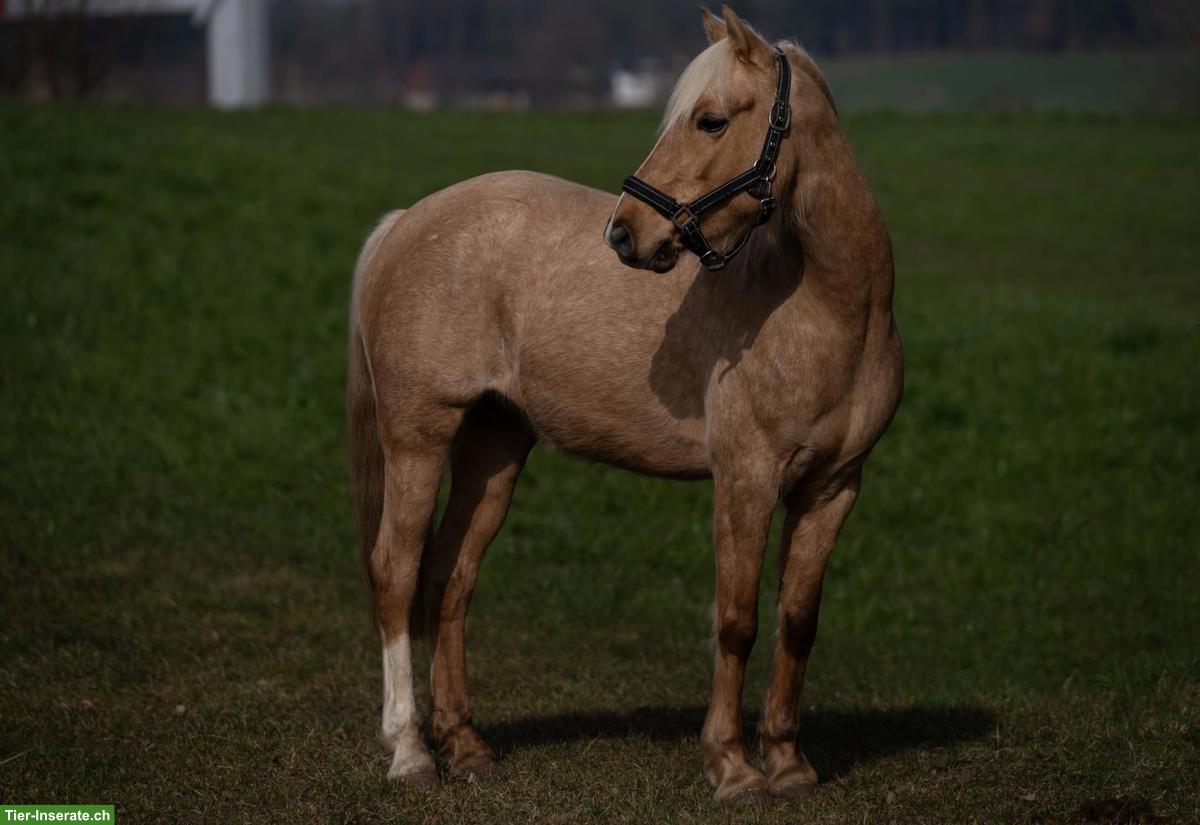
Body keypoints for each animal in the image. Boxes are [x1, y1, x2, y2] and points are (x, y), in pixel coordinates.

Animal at [346, 5, 903, 802]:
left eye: (710, 121)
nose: (625, 232)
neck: (828, 310)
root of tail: (403, 222)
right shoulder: (746, 480)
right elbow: (736, 620)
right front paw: (733, 767)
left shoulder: (832, 488)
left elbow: (797, 619)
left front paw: (790, 764)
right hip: (418, 437)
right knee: (395, 570)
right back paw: (411, 753)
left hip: (494, 446)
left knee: (451, 577)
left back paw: (466, 745)